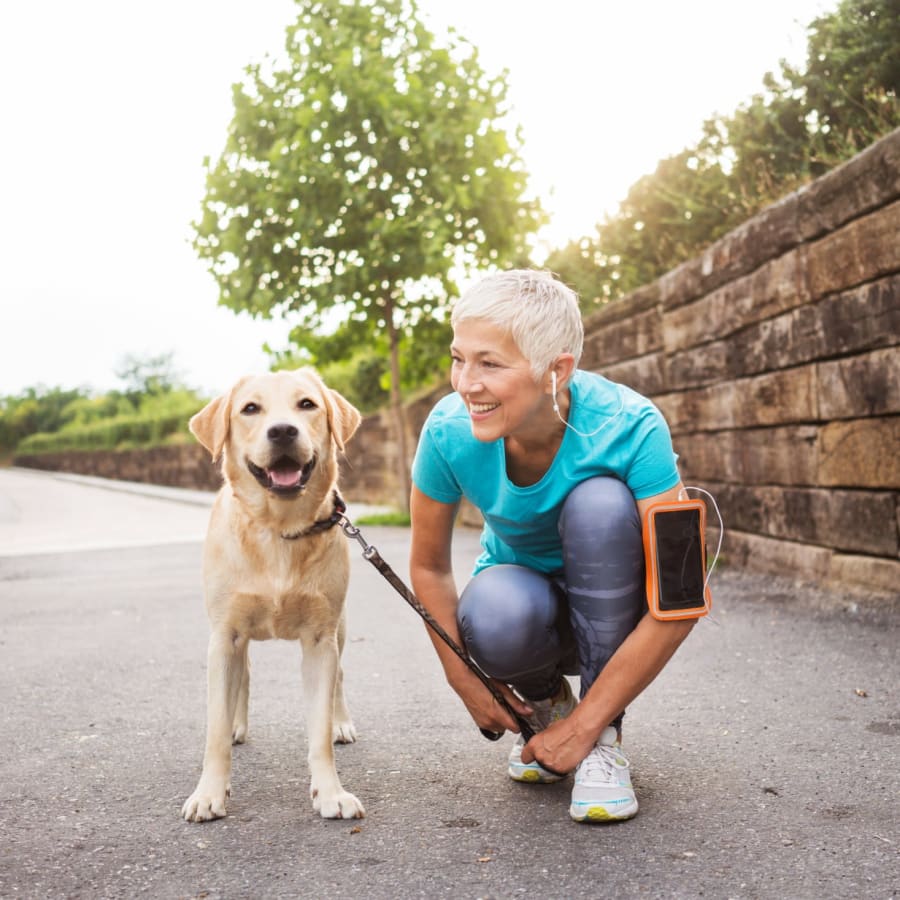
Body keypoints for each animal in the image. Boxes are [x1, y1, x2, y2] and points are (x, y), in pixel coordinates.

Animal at [181, 368, 364, 824]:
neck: (279, 531)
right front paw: (210, 793)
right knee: (243, 674)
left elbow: (318, 730)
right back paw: (236, 724)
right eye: (250, 409)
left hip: (339, 629)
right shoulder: (224, 636)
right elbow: (214, 731)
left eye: (307, 404)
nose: (282, 431)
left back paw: (341, 722)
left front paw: (330, 792)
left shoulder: (319, 639)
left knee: (339, 676)